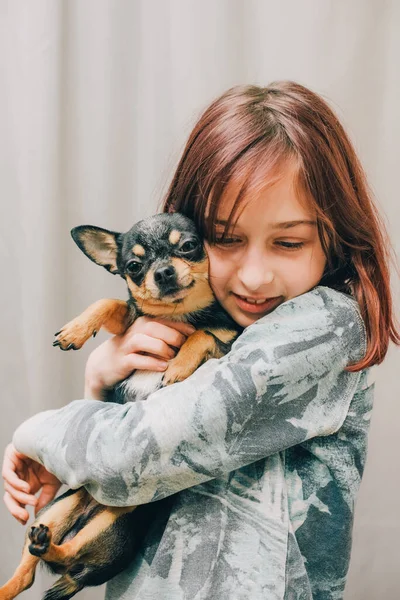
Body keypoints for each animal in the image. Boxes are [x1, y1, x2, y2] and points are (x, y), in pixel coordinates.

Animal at [0, 213, 241, 600]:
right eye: (134, 266)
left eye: (189, 246)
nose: (163, 273)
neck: (180, 316)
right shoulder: (130, 324)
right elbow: (111, 303)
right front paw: (76, 330)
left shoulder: (229, 341)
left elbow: (203, 334)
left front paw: (178, 365)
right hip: (58, 509)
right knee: (28, 572)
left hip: (116, 524)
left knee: (66, 554)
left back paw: (49, 550)